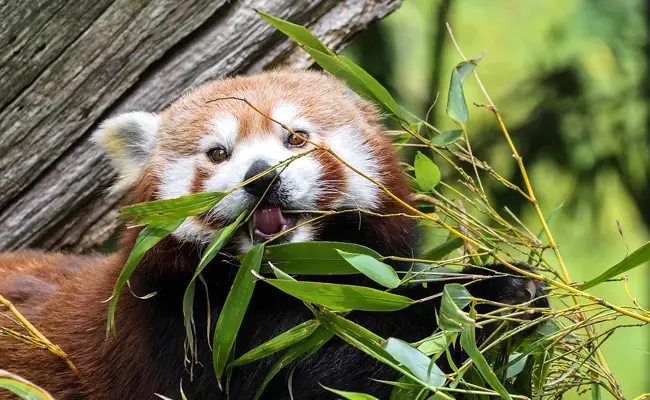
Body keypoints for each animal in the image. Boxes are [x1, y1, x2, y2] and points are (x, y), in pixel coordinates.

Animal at [1, 70, 548, 398]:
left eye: (296, 137)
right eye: (218, 153)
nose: (262, 177)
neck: (282, 280)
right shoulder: (185, 337)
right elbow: (334, 370)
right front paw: (482, 296)